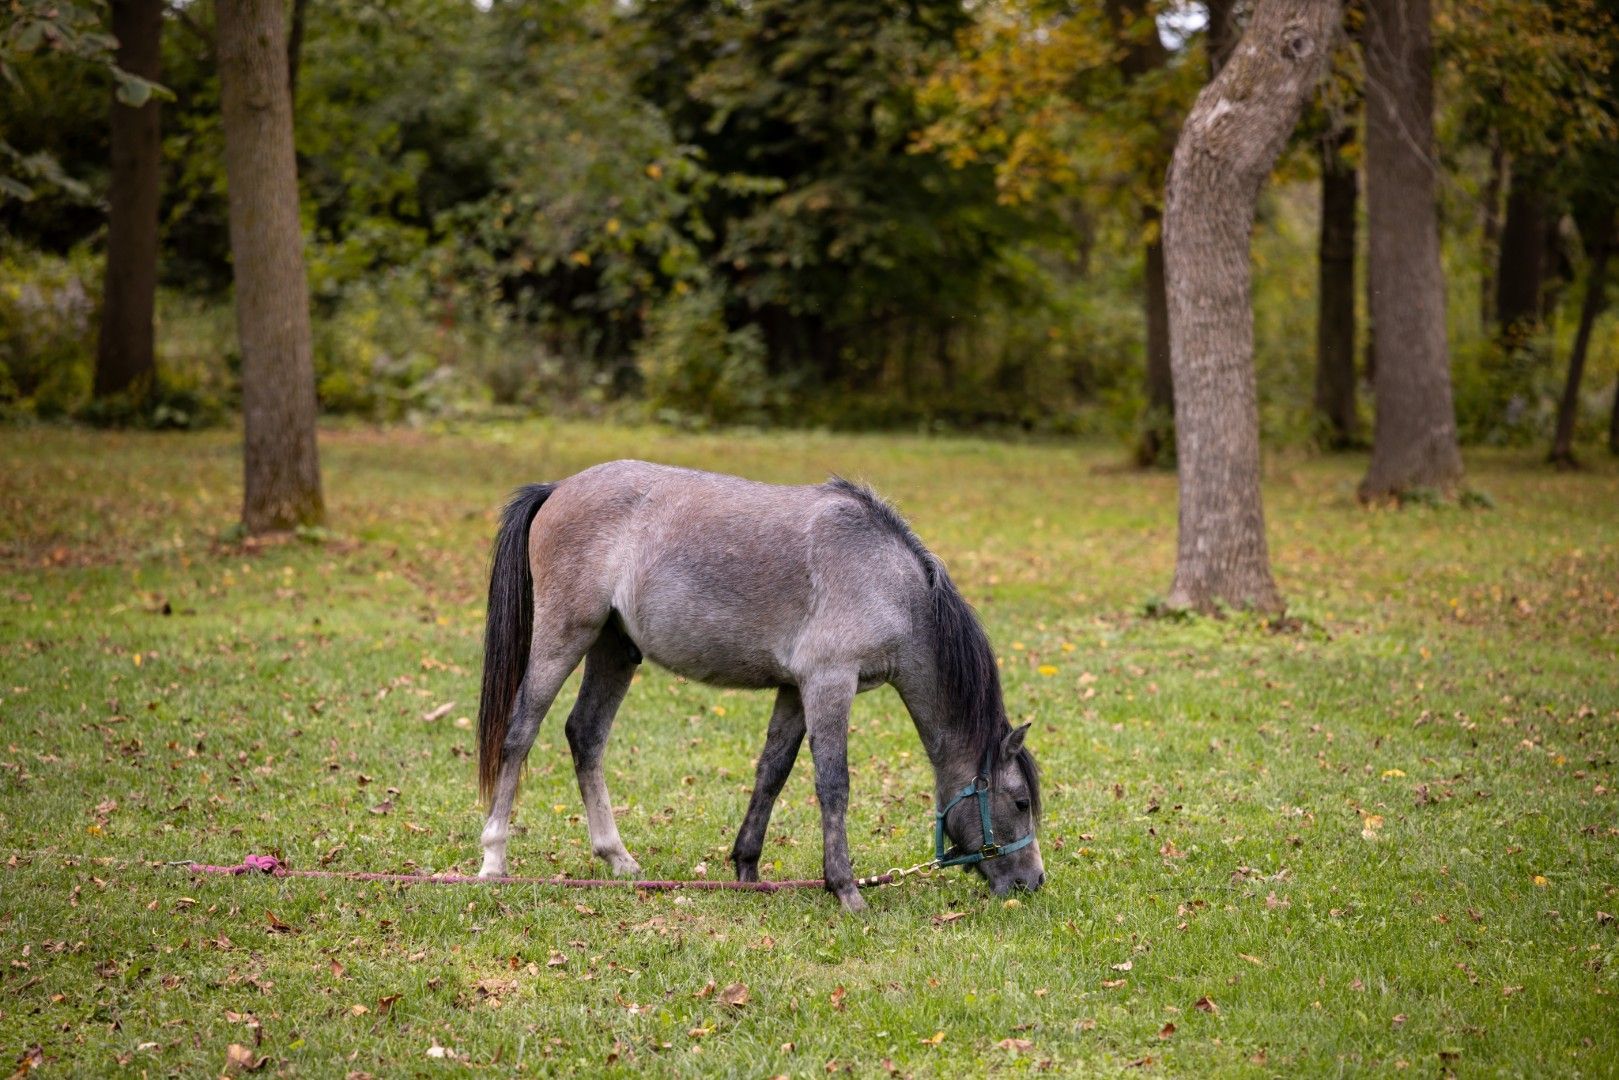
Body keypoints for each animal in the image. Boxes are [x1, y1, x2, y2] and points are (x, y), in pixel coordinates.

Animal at [475, 459, 1044, 910]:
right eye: (1020, 803)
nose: (1033, 882)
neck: (888, 581)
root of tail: (558, 488)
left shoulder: (795, 690)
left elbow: (773, 772)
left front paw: (747, 869)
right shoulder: (829, 684)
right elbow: (833, 783)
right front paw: (845, 889)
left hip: (615, 649)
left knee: (586, 735)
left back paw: (618, 858)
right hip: (564, 636)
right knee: (520, 733)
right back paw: (493, 860)